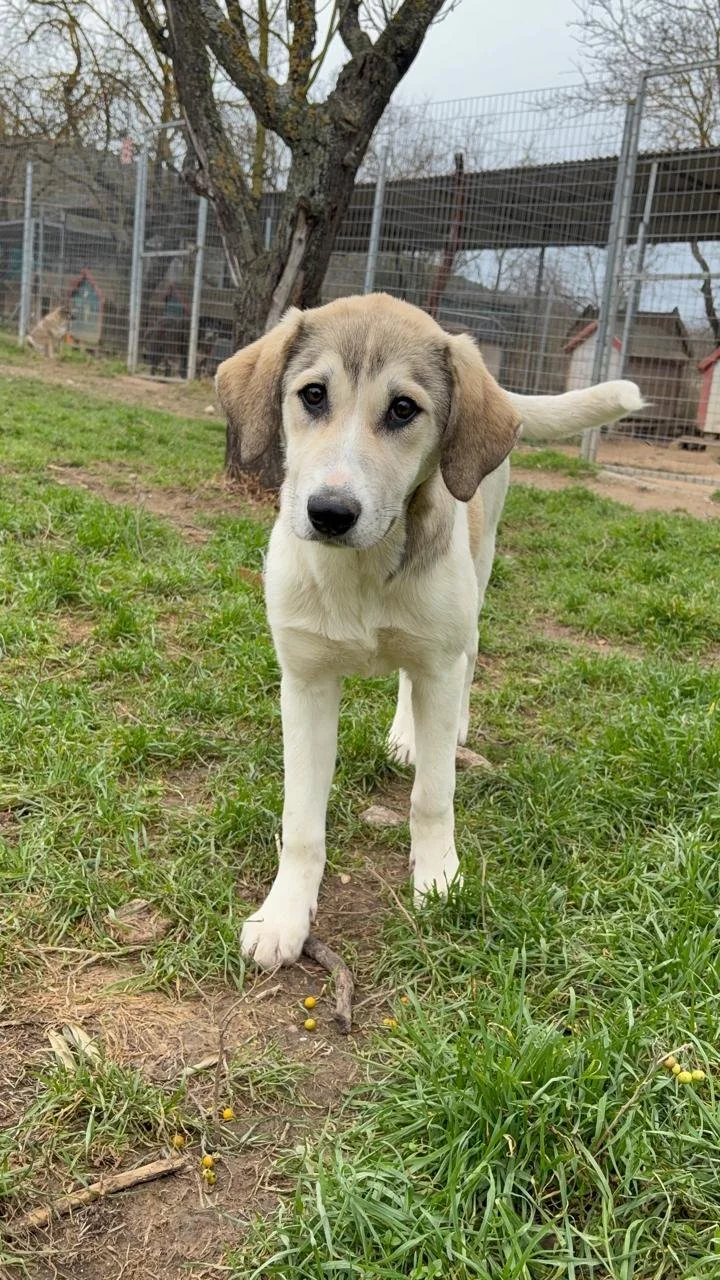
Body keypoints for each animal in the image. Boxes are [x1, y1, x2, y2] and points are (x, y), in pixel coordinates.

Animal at [216, 293, 643, 969]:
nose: (330, 513)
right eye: (312, 395)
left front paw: (438, 877)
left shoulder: (438, 667)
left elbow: (432, 796)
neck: (361, 572)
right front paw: (283, 913)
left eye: (403, 409)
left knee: (465, 658)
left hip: (477, 576)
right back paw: (403, 733)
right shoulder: (305, 682)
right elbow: (302, 819)